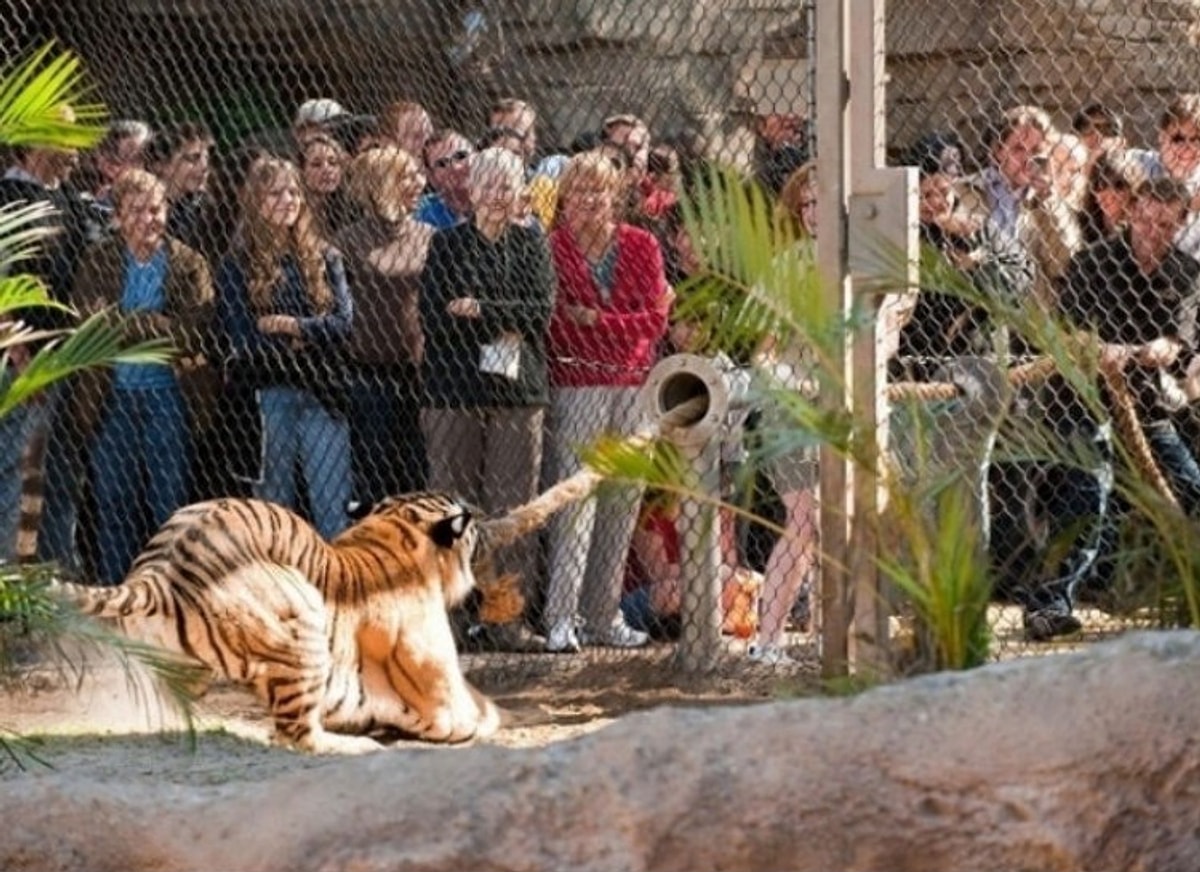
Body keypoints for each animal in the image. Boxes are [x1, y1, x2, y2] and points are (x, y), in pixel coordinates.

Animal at [54, 470, 600, 758]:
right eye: (470, 531)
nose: (482, 520)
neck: (394, 533)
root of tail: (160, 569)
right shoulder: (447, 703)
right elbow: (487, 713)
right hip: (304, 620)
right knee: (296, 734)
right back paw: (357, 746)